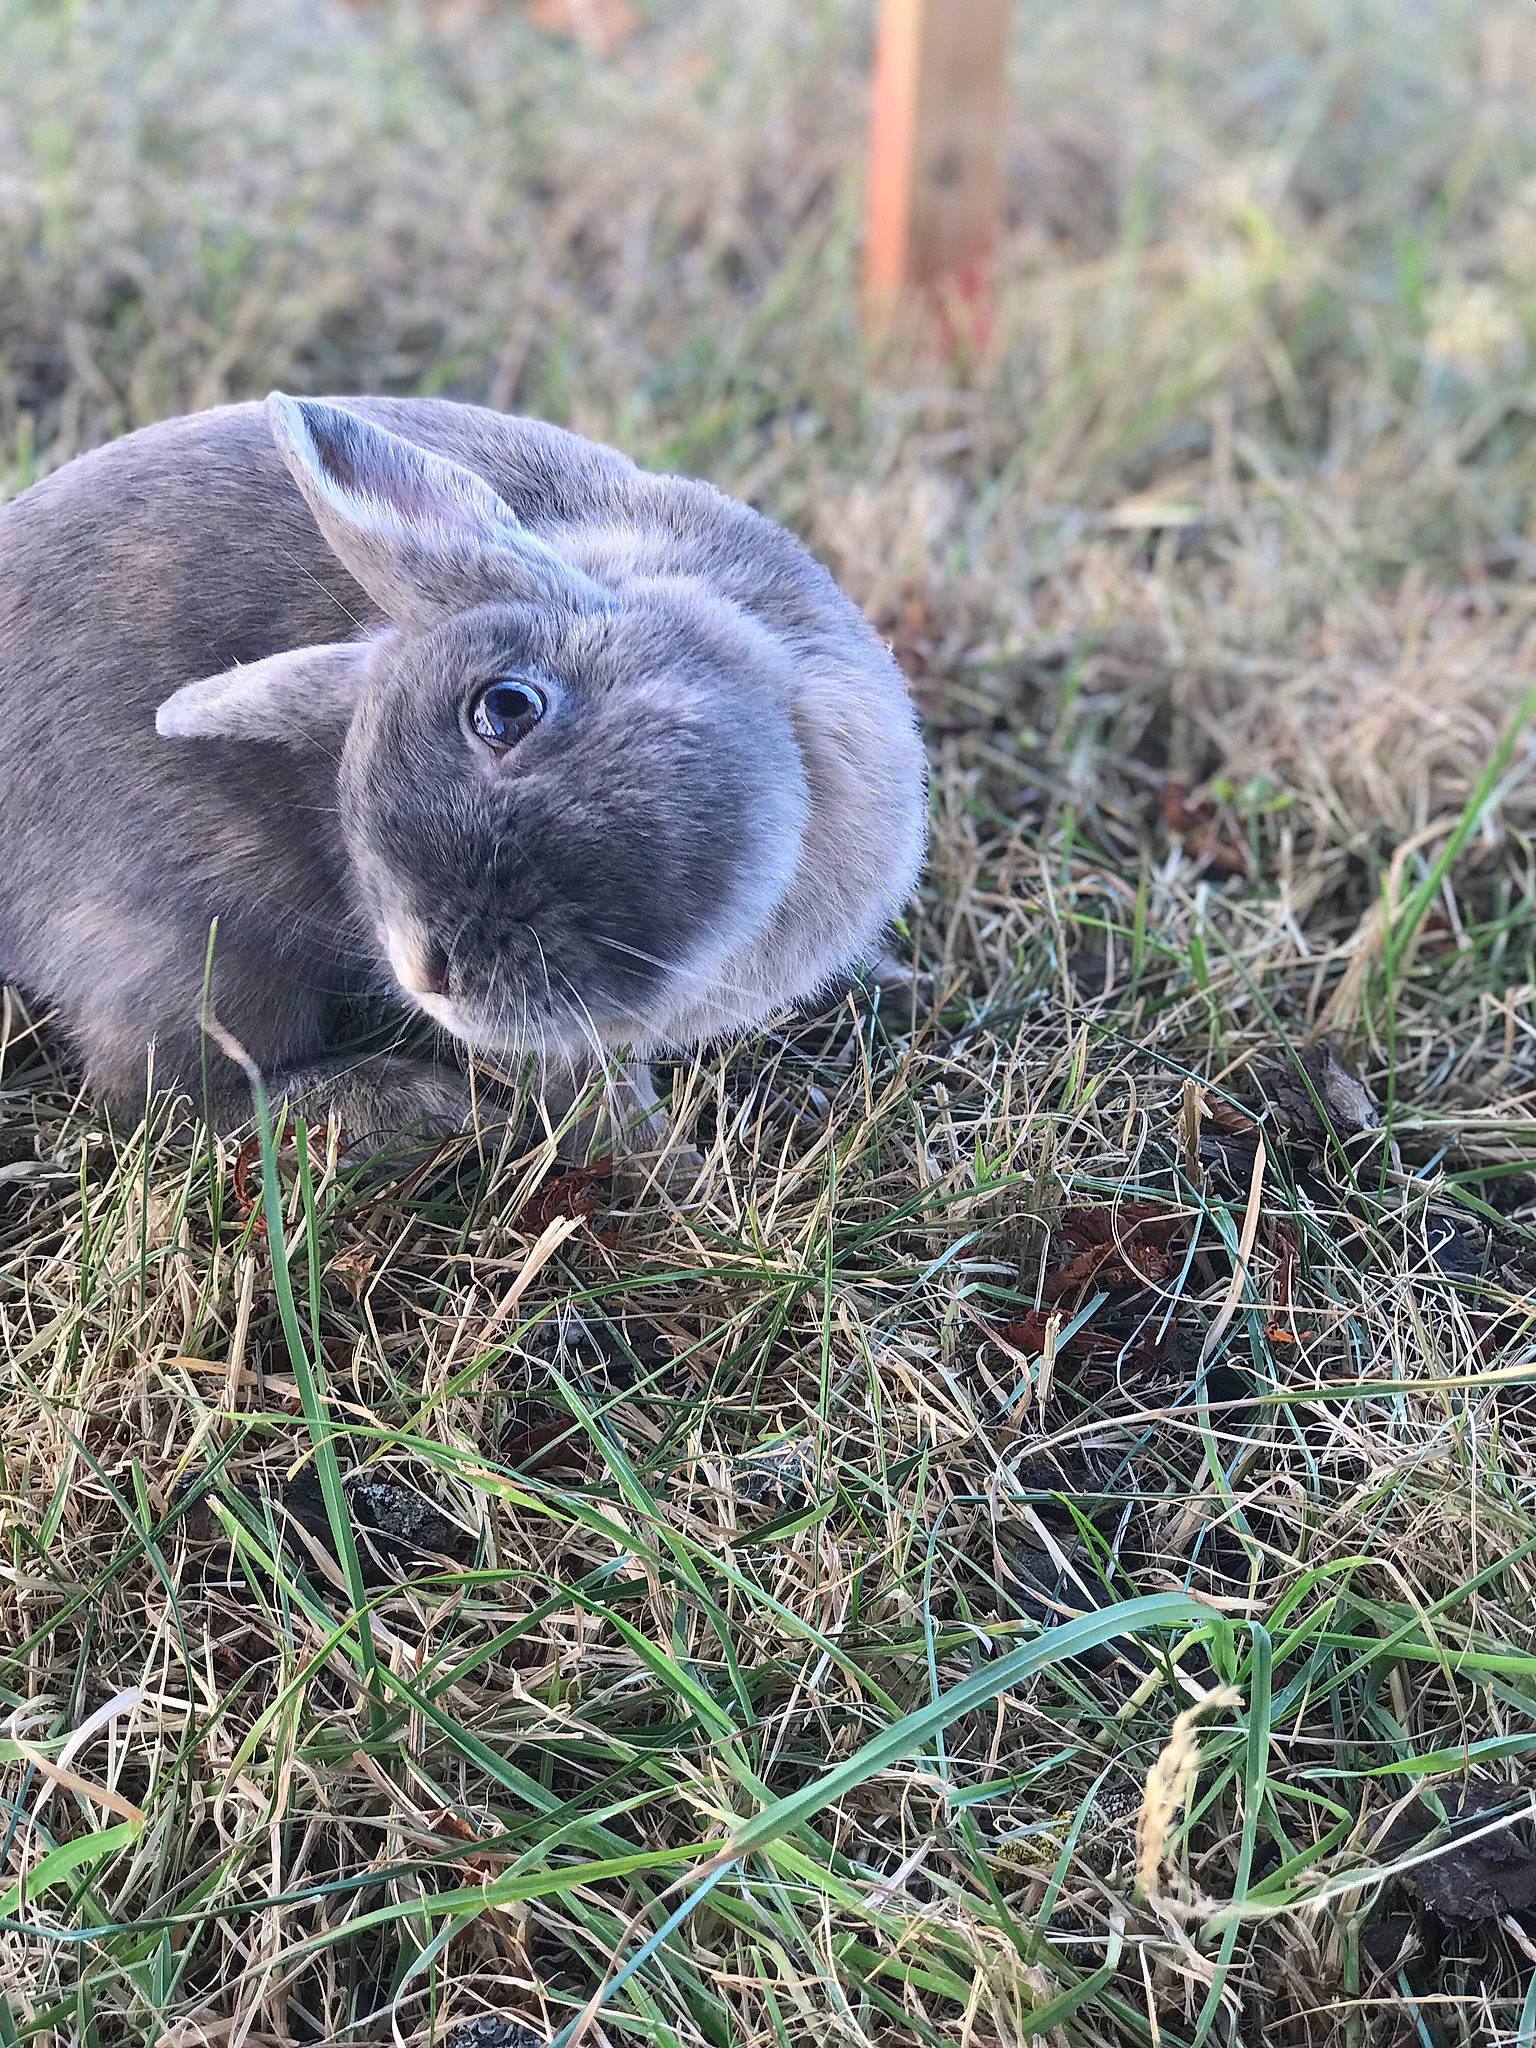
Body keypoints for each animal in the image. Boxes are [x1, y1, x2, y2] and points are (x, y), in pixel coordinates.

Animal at [0, 392, 927, 1155]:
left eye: (506, 710)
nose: (425, 974)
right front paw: (664, 1165)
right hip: (199, 947)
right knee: (164, 1098)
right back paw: (422, 1108)